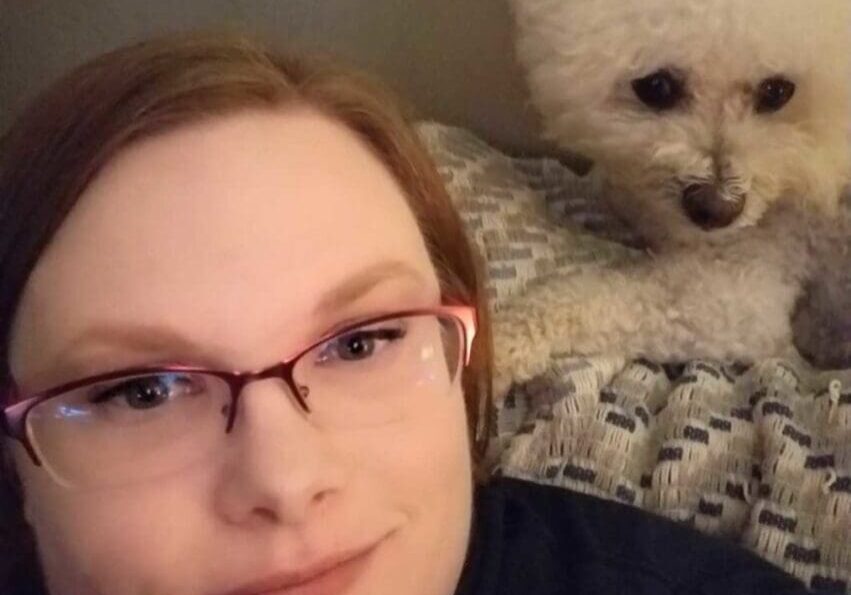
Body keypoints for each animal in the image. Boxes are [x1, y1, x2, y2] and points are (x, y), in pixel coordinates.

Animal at [496, 0, 851, 396]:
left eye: (777, 91)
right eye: (656, 87)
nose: (715, 210)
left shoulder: (738, 297)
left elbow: (605, 297)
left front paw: (502, 339)